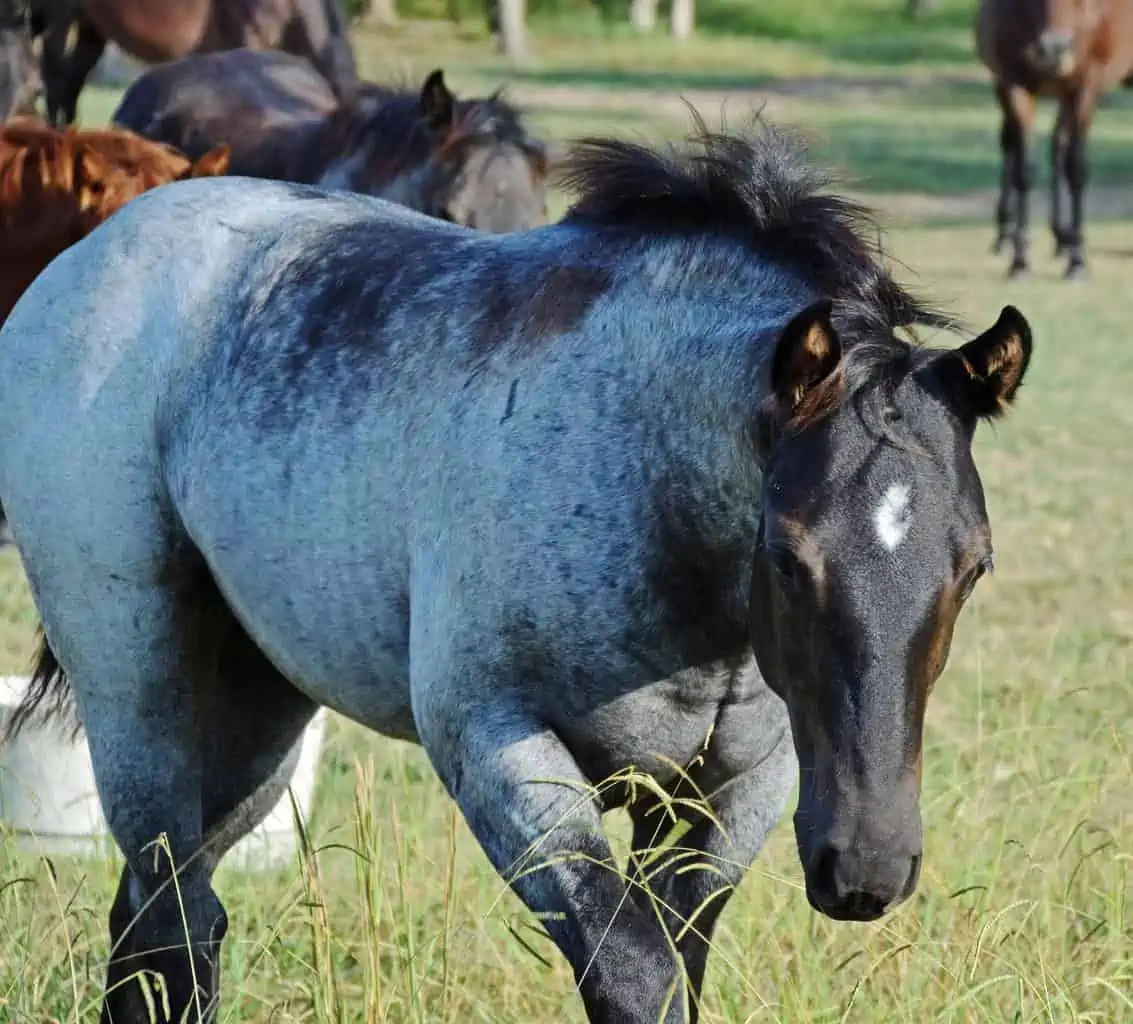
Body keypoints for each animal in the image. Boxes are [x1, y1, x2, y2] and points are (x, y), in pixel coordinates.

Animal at [0, 120, 1033, 1024]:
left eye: (974, 566)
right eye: (784, 551)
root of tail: (91, 256)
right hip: (139, 683)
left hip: (257, 708)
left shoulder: (733, 791)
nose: (865, 867)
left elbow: (677, 963)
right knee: (172, 918)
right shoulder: (499, 746)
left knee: (159, 921)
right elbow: (636, 975)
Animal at [974, 0, 1133, 277]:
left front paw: (1077, 261)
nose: (1053, 50)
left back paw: (1062, 238)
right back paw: (1006, 235)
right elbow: (1024, 171)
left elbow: (1076, 169)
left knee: (1057, 144)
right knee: (1012, 144)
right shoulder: (1013, 83)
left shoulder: (1085, 85)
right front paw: (1020, 261)